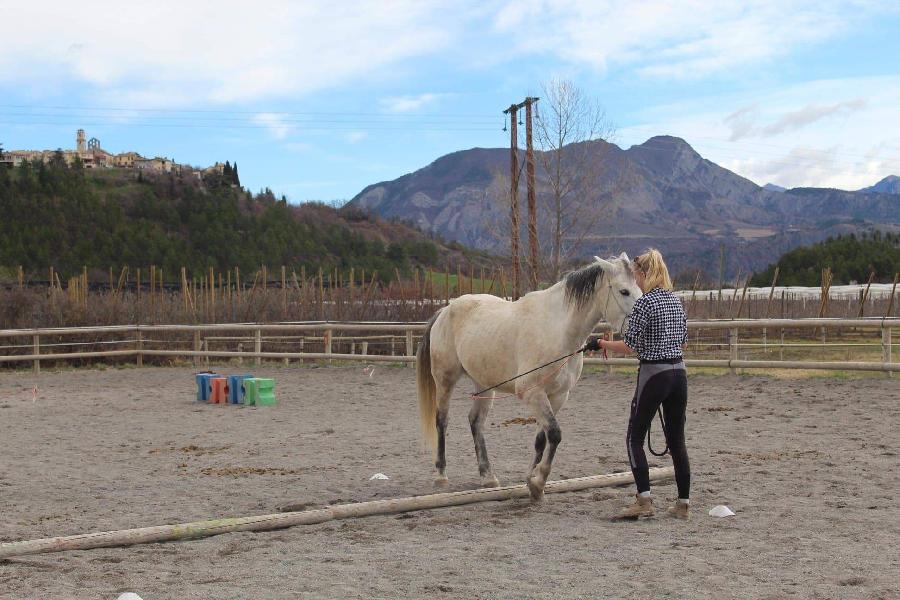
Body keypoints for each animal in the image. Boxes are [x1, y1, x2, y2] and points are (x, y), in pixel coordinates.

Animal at [418, 252, 644, 496]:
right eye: (624, 291)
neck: (557, 330)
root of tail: (445, 311)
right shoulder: (532, 393)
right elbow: (554, 433)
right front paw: (538, 482)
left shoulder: (557, 396)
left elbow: (541, 439)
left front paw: (531, 479)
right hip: (445, 380)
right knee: (442, 420)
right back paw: (441, 476)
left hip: (484, 384)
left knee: (476, 422)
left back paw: (488, 476)